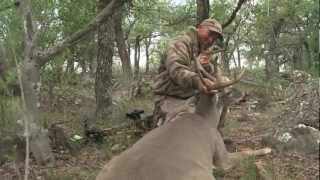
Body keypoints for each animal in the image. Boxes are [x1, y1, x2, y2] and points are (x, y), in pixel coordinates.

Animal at [96, 49, 272, 180]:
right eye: (228, 90)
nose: (244, 94)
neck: (205, 119)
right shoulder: (221, 154)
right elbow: (246, 152)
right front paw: (267, 148)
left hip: (108, 164)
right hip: (199, 174)